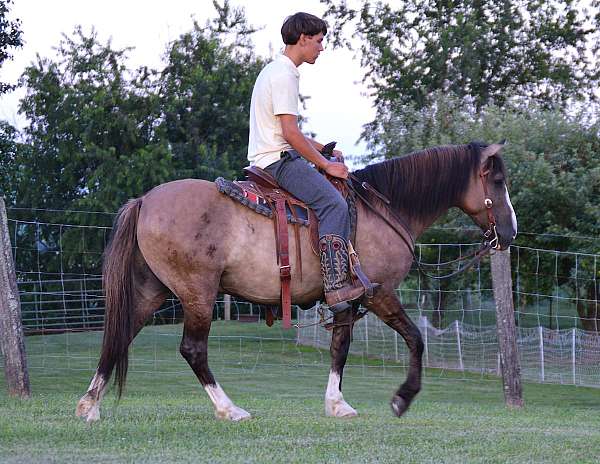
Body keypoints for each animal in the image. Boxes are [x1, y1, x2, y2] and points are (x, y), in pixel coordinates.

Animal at [75, 140, 516, 420]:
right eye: (496, 181)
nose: (509, 232)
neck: (383, 209)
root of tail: (144, 201)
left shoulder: (347, 298)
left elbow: (340, 348)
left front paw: (337, 404)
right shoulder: (379, 294)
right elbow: (415, 338)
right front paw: (402, 399)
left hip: (151, 291)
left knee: (118, 336)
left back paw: (89, 406)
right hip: (197, 293)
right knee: (192, 350)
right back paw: (230, 410)